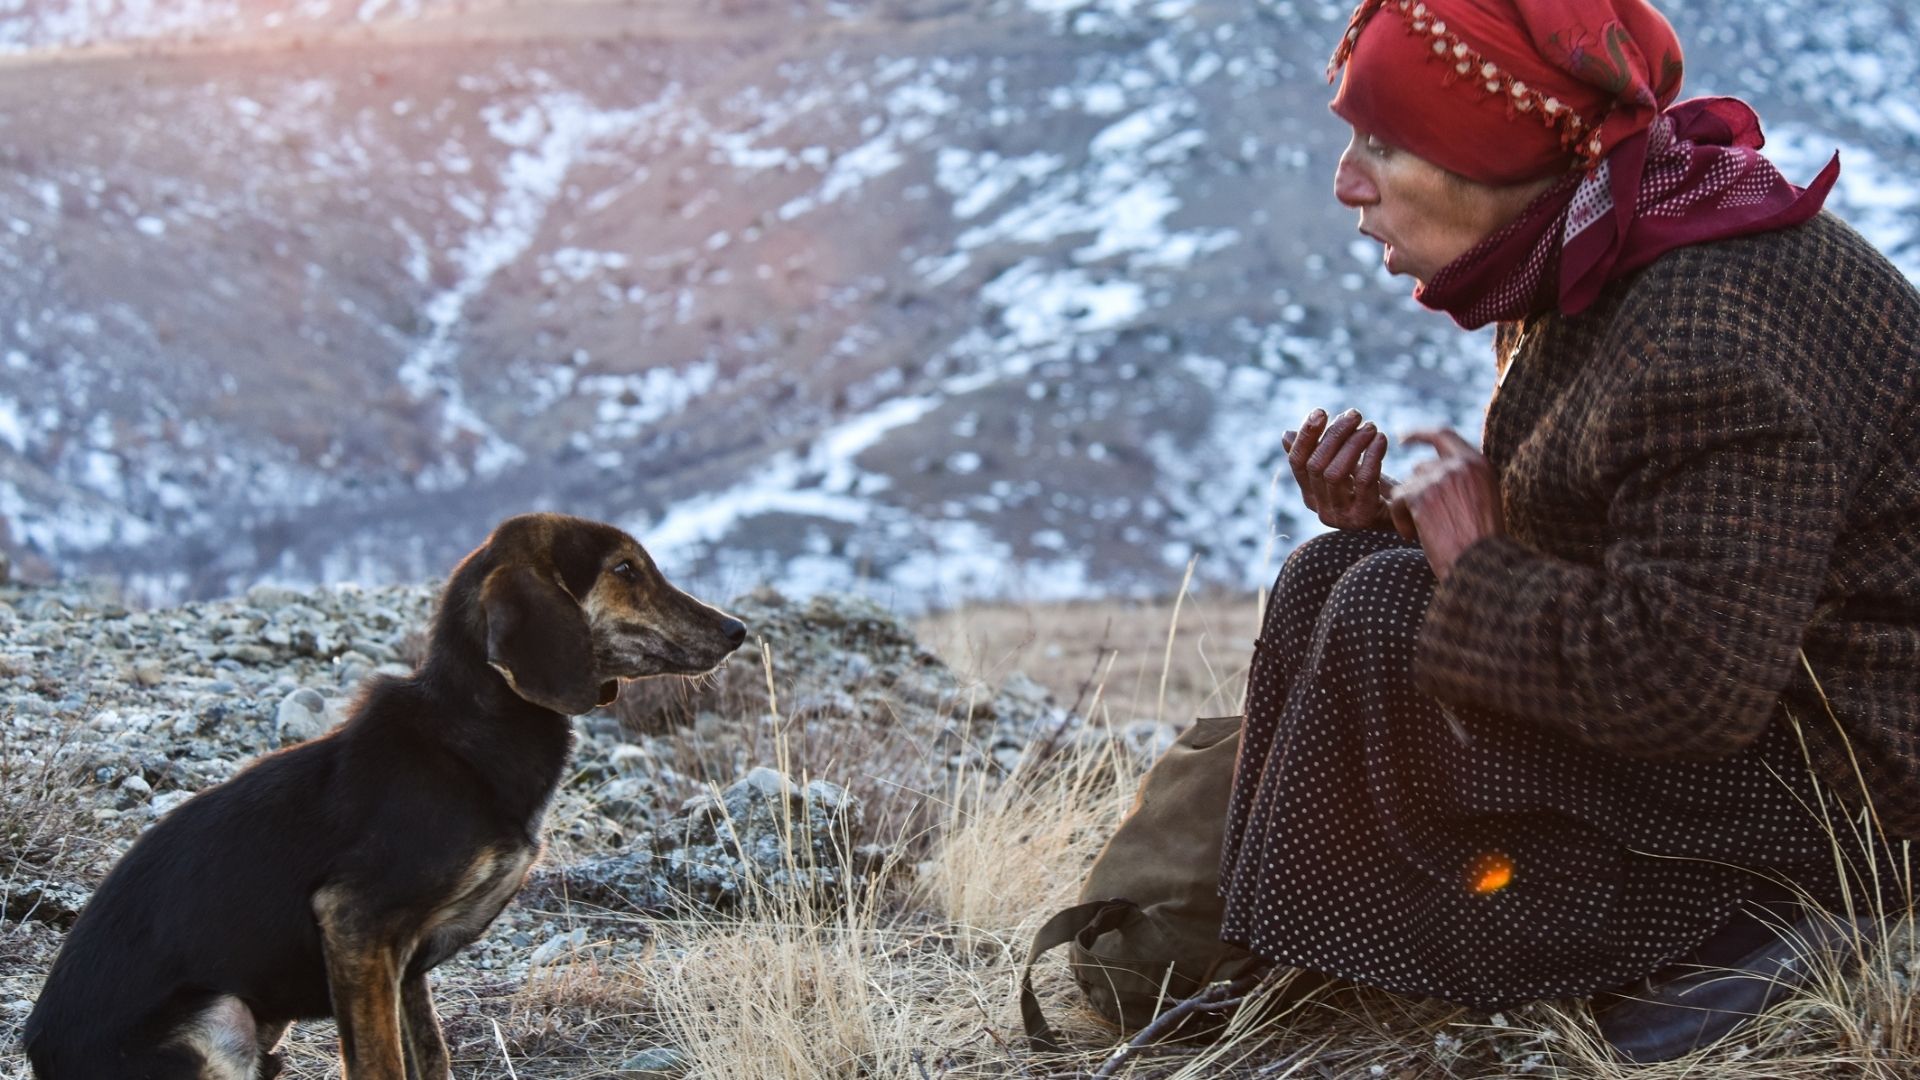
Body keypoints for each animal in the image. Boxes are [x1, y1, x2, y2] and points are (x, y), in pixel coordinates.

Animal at [24, 511, 741, 1076]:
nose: (736, 628)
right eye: (625, 568)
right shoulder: (355, 924)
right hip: (221, 1018)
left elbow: (431, 1055)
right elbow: (380, 1065)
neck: (470, 728)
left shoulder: (405, 965)